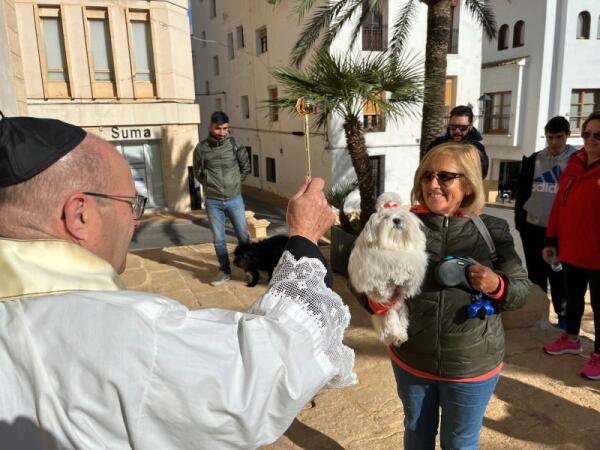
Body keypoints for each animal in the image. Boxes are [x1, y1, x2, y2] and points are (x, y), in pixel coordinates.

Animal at [346, 192, 426, 344]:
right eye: (385, 217)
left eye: (401, 215)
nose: (396, 220)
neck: (393, 244)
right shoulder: (371, 268)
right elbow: (380, 281)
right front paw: (385, 288)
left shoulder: (411, 261)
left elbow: (408, 273)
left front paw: (403, 279)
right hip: (384, 308)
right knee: (390, 318)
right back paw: (397, 335)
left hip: (399, 305)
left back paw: (401, 334)